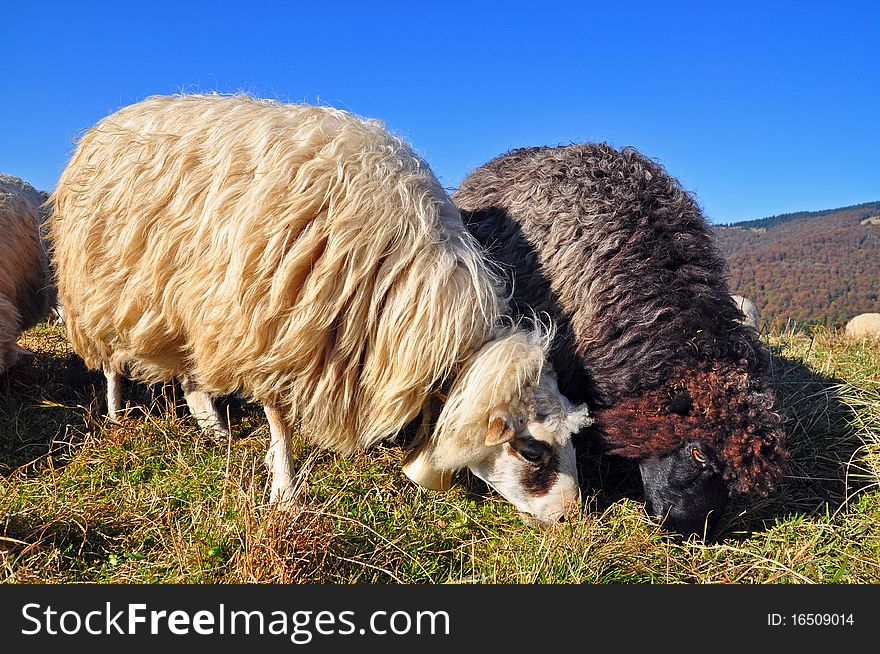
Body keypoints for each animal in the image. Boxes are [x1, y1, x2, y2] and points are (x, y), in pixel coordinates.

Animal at [49, 95, 592, 528]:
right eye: (533, 449)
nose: (572, 519)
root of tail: (108, 122)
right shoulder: (273, 326)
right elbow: (280, 417)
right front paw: (285, 492)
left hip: (186, 300)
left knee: (189, 372)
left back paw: (216, 430)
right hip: (98, 290)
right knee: (112, 363)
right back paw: (118, 418)